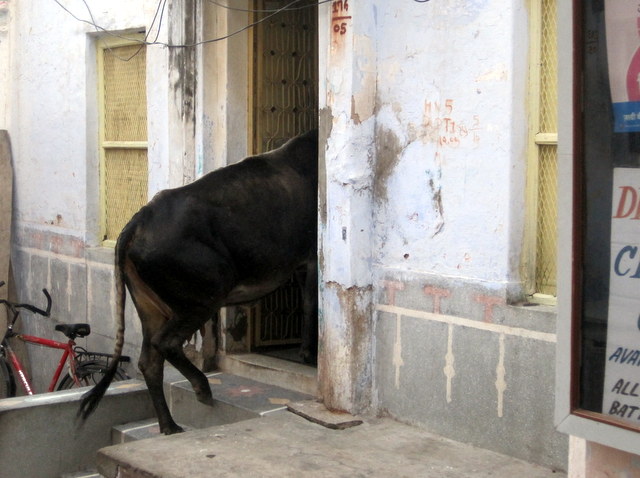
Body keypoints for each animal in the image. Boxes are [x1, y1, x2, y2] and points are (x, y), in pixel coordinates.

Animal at [78, 130, 318, 435]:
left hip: (150, 307)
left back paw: (170, 426)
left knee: (149, 361)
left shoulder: (301, 265)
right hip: (205, 296)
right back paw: (202, 389)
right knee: (165, 343)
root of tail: (140, 220)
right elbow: (313, 306)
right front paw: (310, 356)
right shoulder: (313, 257)